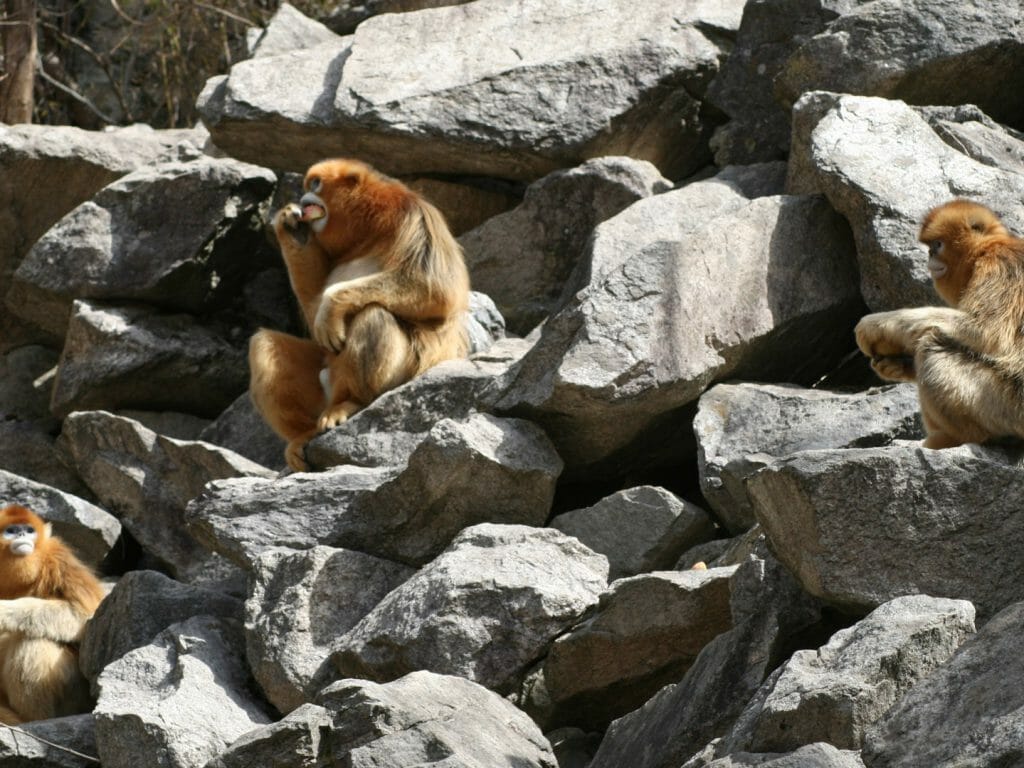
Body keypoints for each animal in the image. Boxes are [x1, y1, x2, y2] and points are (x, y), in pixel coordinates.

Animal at [0, 505, 105, 724]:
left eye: (29, 530)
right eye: (11, 530)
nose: (22, 534)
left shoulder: (59, 559)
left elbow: (85, 616)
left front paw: (3, 611)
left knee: (33, 641)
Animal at [249, 158, 471, 471]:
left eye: (315, 184)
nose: (304, 198)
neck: (369, 227)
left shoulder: (415, 216)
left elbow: (436, 290)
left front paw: (333, 304)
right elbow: (313, 309)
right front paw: (294, 231)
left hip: (403, 374)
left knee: (372, 314)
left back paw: (353, 402)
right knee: (263, 343)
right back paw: (304, 435)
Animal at [855, 199, 1024, 449]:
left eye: (937, 245)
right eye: (930, 247)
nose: (929, 256)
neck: (987, 249)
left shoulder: (1001, 264)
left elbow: (984, 331)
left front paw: (875, 326)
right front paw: (896, 365)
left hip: (1006, 405)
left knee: (932, 344)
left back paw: (956, 438)